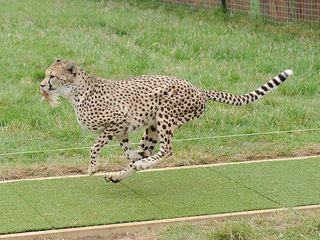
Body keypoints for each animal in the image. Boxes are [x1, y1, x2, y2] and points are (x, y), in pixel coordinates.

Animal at [40, 59, 292, 182]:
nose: (42, 85)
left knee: (167, 149)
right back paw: (121, 173)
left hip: (165, 115)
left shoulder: (117, 121)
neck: (75, 93)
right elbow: (126, 149)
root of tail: (198, 89)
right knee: (149, 151)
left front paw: (93, 167)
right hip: (152, 125)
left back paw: (140, 164)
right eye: (45, 74)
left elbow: (95, 146)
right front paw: (130, 156)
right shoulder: (122, 128)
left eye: (52, 76)